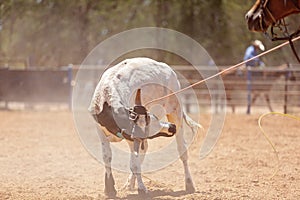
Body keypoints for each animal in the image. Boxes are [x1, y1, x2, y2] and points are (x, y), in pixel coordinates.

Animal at [89, 57, 202, 197]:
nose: (171, 127)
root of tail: (168, 69)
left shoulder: (133, 138)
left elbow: (134, 164)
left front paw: (142, 188)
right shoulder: (101, 131)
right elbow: (107, 156)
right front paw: (110, 188)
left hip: (176, 111)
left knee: (182, 151)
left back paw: (189, 184)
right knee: (143, 151)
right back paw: (130, 184)